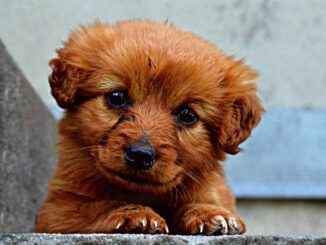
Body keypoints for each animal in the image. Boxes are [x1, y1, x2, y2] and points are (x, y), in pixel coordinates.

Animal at [34, 20, 264, 234]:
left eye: (187, 115)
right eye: (117, 97)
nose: (140, 155)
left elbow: (201, 202)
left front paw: (209, 213)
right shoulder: (56, 210)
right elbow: (96, 206)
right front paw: (135, 214)